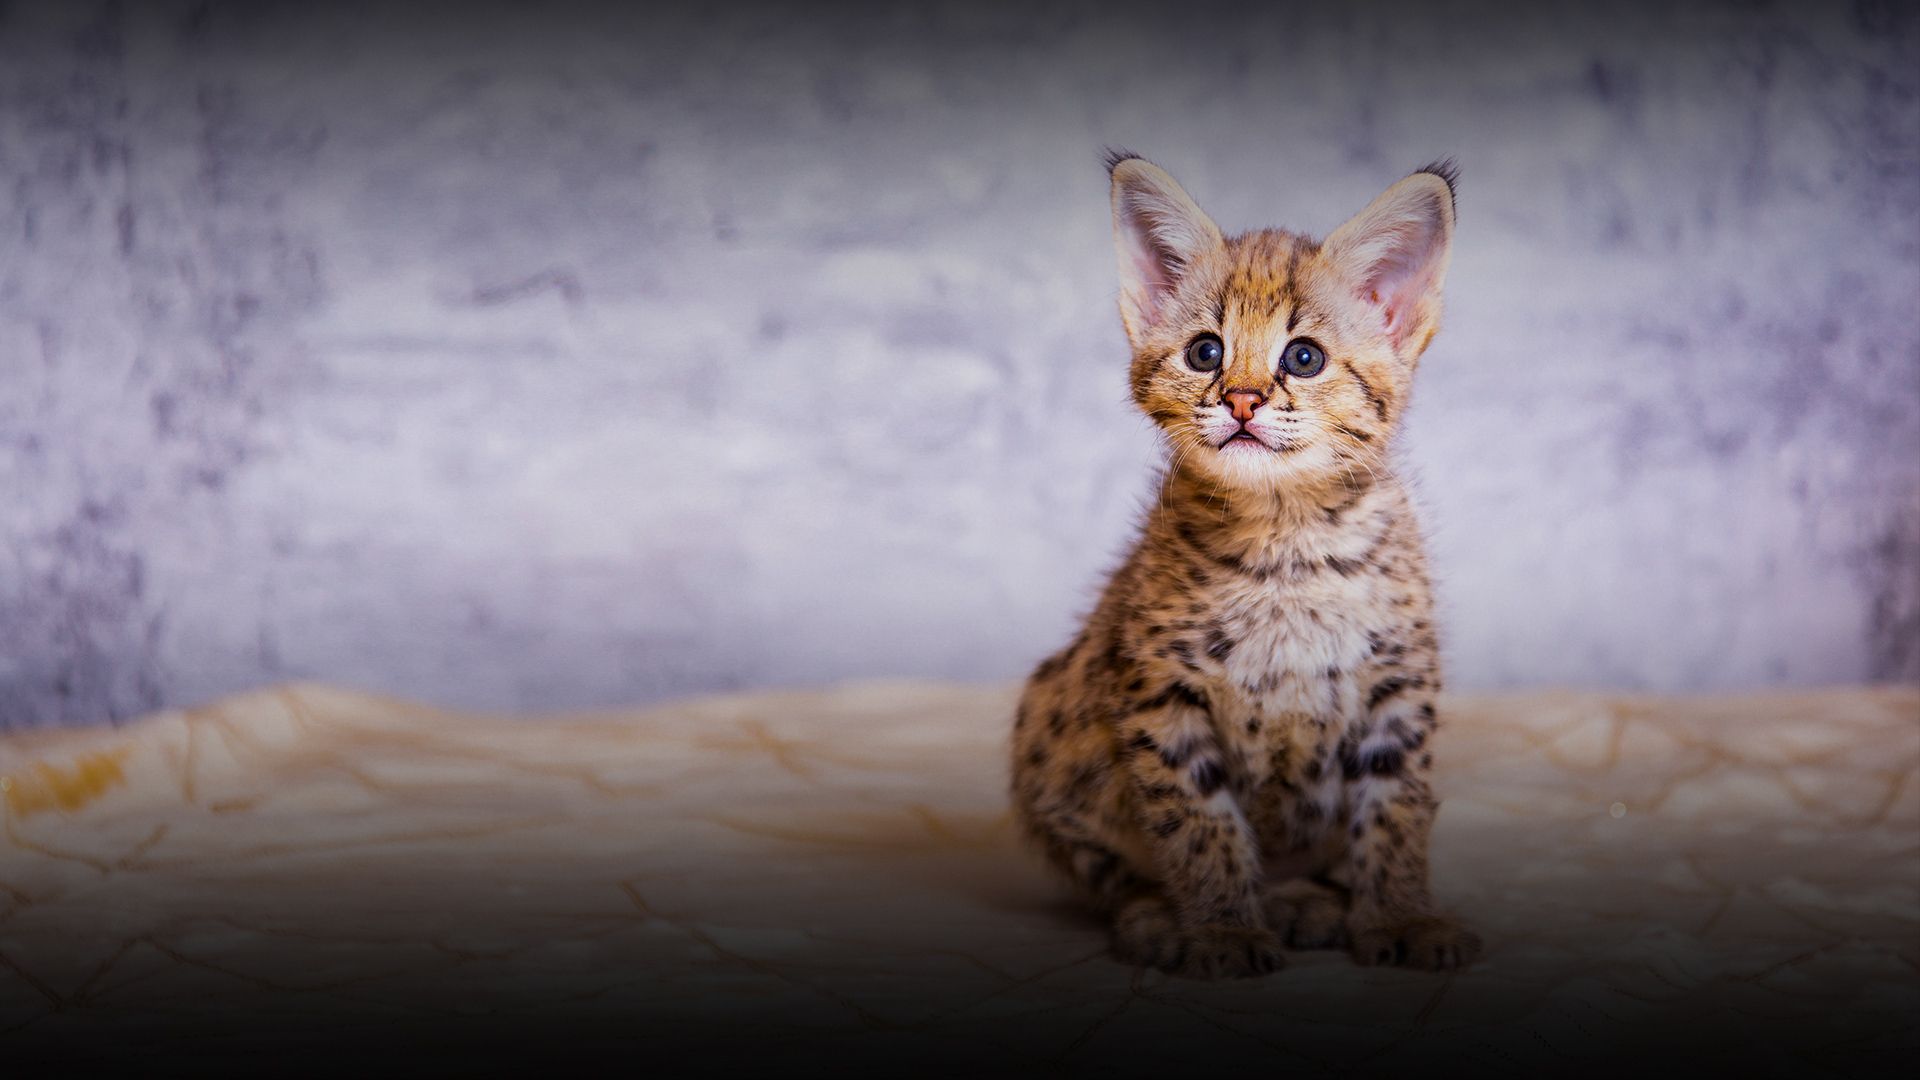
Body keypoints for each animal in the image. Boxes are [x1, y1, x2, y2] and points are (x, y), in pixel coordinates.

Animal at [1013, 148, 1474, 976]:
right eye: (1206, 352)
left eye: (1304, 357)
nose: (1243, 400)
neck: (1286, 535)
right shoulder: (1158, 693)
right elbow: (1199, 821)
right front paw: (1224, 929)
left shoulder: (1398, 683)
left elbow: (1396, 809)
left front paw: (1402, 916)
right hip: (1046, 718)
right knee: (1108, 870)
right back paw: (1160, 918)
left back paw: (1306, 899)